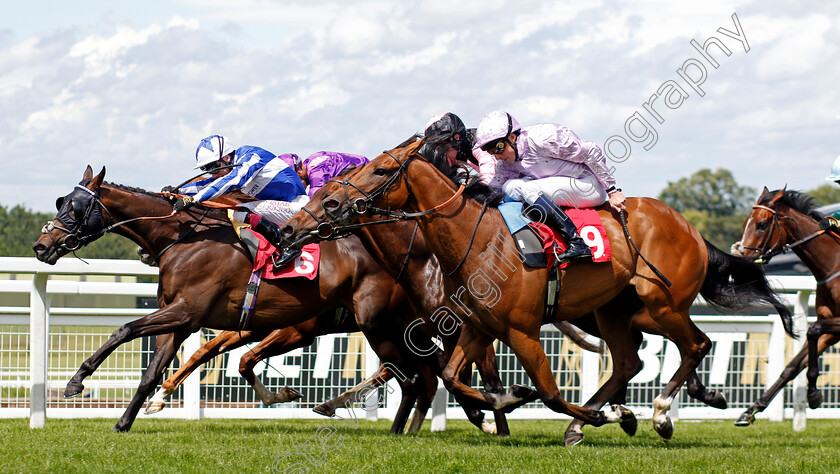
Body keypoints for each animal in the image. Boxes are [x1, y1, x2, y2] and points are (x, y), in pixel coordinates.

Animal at [29, 166, 460, 434]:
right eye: (62, 201)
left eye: (75, 207)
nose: (41, 246)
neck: (183, 239)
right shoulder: (182, 317)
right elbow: (157, 369)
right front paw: (127, 420)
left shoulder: (189, 310)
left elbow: (124, 329)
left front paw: (76, 381)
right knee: (420, 375)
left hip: (379, 324)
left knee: (413, 375)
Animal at [278, 139, 796, 442]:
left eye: (382, 170)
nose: (325, 204)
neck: (476, 240)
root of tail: (689, 227)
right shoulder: (477, 329)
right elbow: (454, 377)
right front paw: (505, 405)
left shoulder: (521, 330)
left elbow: (544, 389)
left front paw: (538, 408)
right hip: (613, 311)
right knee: (630, 362)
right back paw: (602, 418)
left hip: (661, 304)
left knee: (697, 344)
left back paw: (659, 414)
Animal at [732, 188, 840, 426]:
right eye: (745, 222)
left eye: (762, 224)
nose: (741, 259)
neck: (834, 266)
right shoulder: (831, 328)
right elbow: (792, 366)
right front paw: (751, 409)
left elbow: (812, 330)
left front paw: (814, 394)